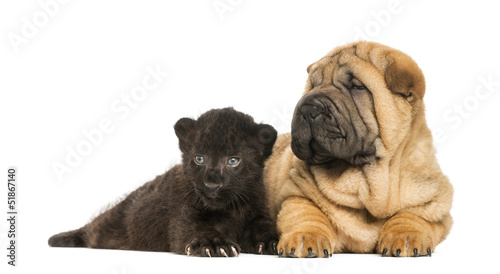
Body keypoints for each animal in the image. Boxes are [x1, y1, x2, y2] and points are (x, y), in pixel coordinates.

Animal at [266, 40, 454, 256]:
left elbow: (412, 215)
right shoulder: (294, 193)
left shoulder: (434, 202)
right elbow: (307, 214)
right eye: (312, 85)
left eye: (357, 86)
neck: (365, 183)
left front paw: (406, 236)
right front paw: (306, 238)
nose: (308, 108)